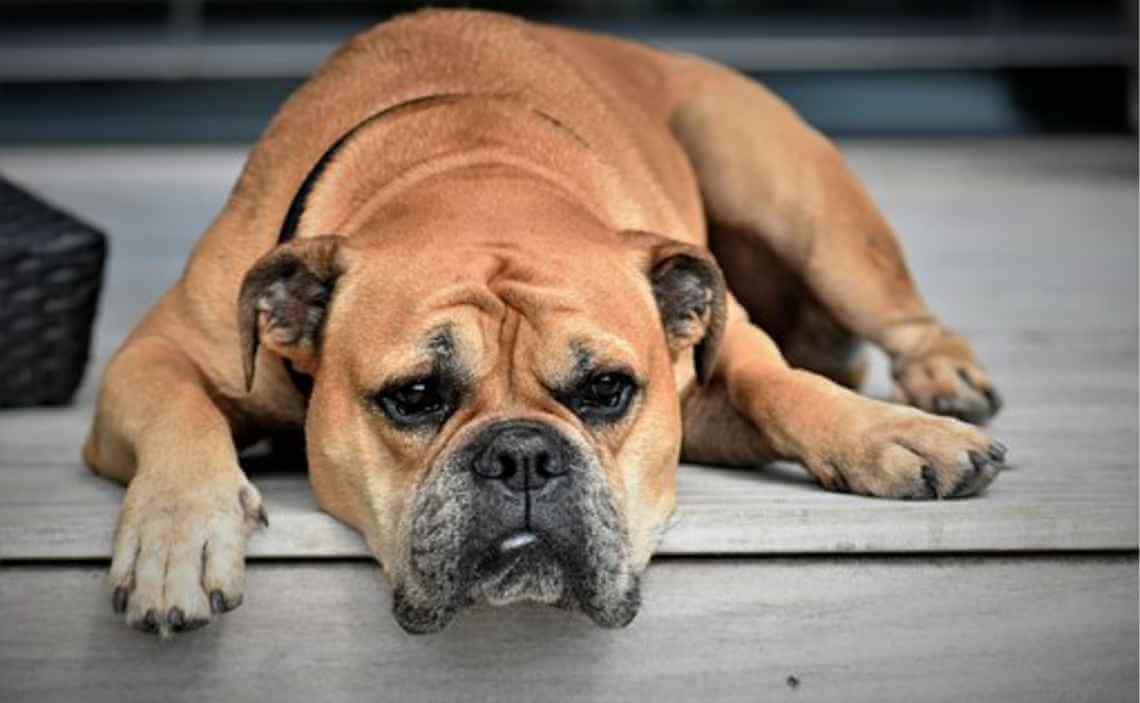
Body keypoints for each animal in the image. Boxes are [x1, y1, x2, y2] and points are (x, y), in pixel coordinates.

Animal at [84, 8, 1003, 638]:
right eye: (415, 396)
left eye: (607, 389)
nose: (522, 454)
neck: (470, 171)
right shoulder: (152, 355)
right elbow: (179, 409)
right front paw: (177, 533)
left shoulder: (719, 356)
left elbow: (781, 383)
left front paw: (890, 433)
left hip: (796, 196)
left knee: (896, 317)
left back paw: (941, 382)